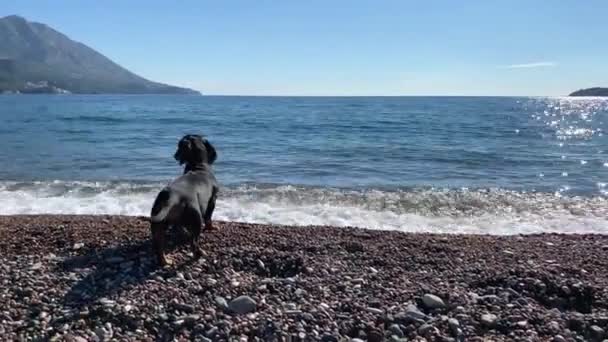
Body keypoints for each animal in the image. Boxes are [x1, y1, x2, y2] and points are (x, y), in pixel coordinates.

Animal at [150, 135, 218, 266]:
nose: (174, 156)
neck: (199, 166)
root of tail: (170, 195)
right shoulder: (212, 201)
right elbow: (209, 218)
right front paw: (211, 228)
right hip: (196, 219)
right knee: (194, 243)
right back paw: (200, 254)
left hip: (158, 225)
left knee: (158, 247)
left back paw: (165, 261)